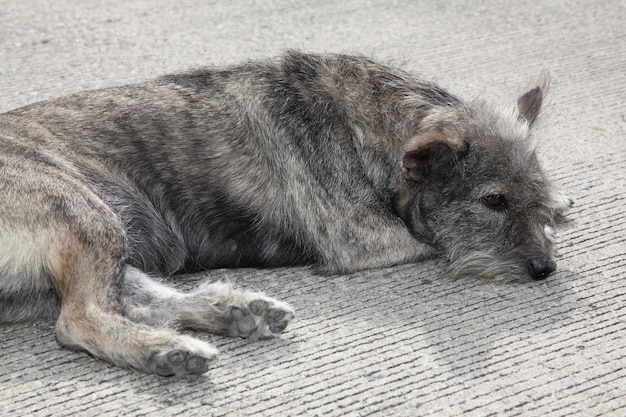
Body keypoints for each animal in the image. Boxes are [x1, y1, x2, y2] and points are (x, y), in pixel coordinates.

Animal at [0, 50, 572, 376]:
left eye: (534, 193)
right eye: (492, 201)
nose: (543, 269)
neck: (366, 123)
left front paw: (561, 206)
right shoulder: (364, 239)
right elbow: (431, 242)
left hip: (111, 232)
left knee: (133, 297)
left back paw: (233, 311)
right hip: (85, 212)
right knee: (79, 318)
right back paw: (166, 351)